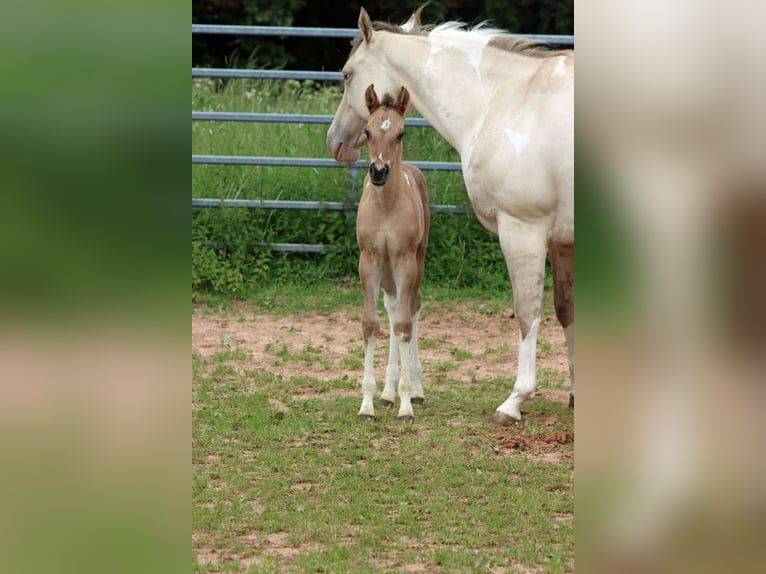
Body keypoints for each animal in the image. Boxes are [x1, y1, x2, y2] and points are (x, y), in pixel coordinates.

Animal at [327, 7, 574, 425]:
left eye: (346, 73)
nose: (335, 142)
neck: (505, 99)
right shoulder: (562, 243)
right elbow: (565, 310)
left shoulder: (522, 231)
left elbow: (527, 314)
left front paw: (515, 400)